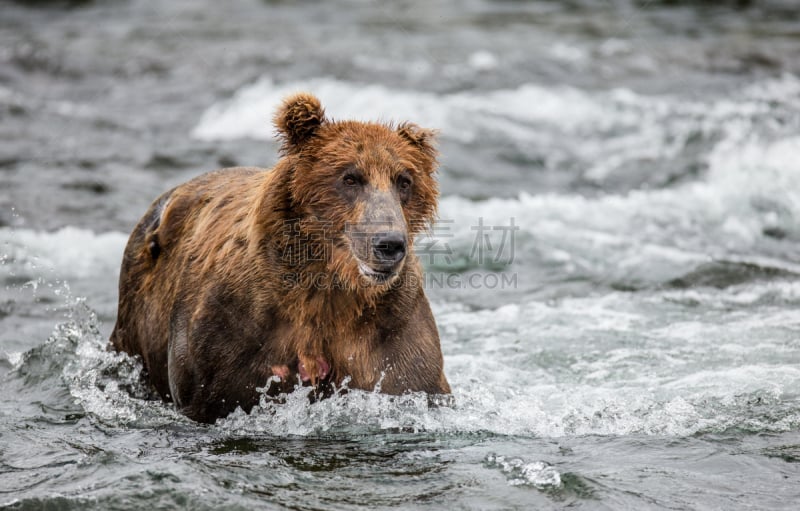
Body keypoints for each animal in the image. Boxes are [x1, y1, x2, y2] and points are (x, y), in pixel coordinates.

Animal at [108, 92, 450, 424]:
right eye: (350, 178)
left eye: (404, 180)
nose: (389, 243)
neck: (329, 289)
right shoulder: (234, 335)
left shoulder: (389, 335)